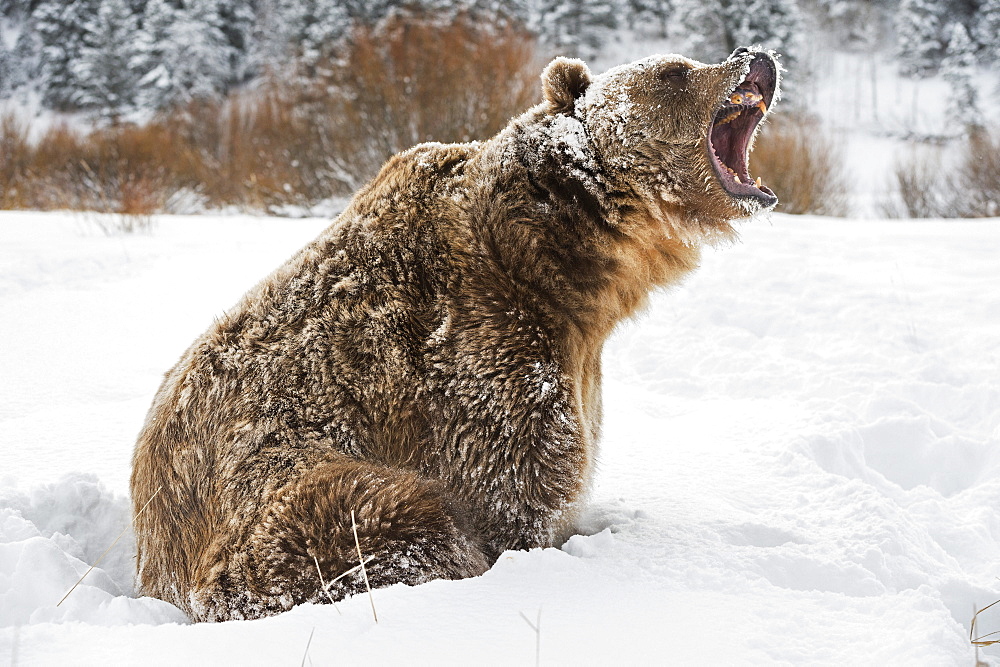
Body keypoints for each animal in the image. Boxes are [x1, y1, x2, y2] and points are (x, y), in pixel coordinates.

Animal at [129, 45, 780, 620]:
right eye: (675, 71)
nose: (755, 56)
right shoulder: (482, 353)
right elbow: (515, 488)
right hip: (274, 494)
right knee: (388, 517)